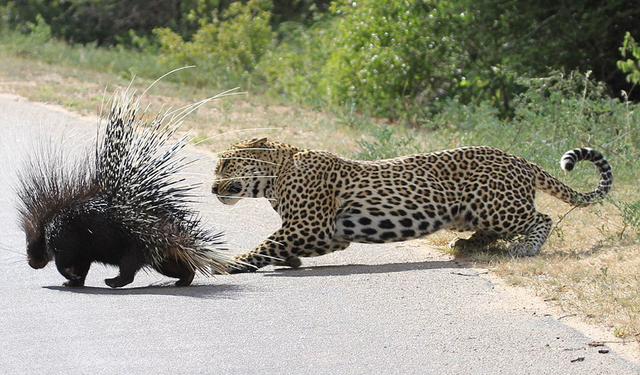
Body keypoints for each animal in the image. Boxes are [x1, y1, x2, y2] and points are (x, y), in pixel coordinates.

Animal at [211, 138, 608, 274]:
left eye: (226, 164)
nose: (213, 188)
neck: (275, 178)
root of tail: (519, 159)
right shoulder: (324, 234)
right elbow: (275, 245)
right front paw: (288, 261)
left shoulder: (313, 227)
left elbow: (265, 243)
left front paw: (229, 264)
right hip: (471, 211)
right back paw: (468, 244)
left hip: (492, 204)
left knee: (542, 217)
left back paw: (526, 247)